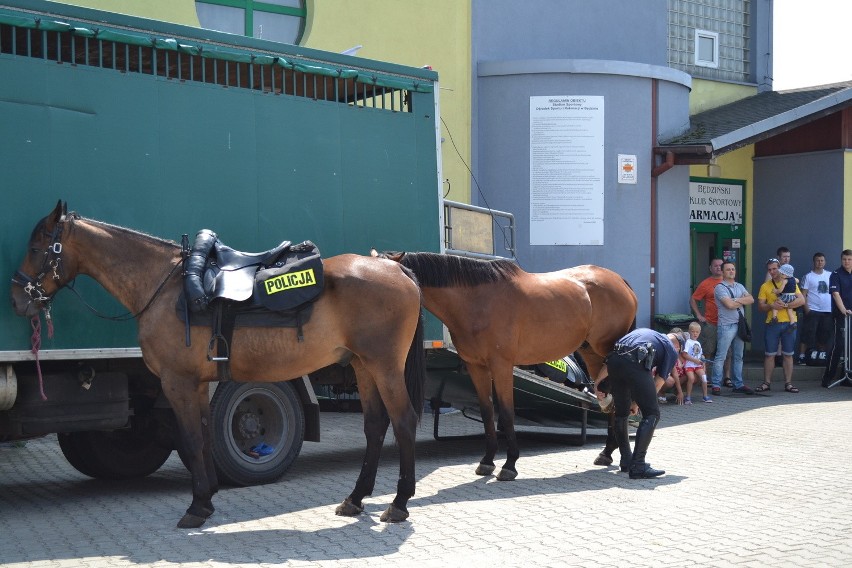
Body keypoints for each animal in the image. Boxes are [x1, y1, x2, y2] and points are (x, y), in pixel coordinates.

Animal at [10, 203, 426, 528]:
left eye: (36, 247)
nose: (17, 297)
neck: (165, 287)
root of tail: (395, 268)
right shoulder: (196, 383)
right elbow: (204, 436)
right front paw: (207, 498)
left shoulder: (177, 382)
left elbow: (192, 439)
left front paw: (196, 507)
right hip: (363, 367)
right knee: (375, 426)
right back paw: (356, 498)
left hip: (385, 366)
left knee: (403, 421)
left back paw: (399, 504)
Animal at [376, 252, 636, 480]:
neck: (476, 301)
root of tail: (621, 282)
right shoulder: (476, 366)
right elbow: (487, 411)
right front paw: (487, 461)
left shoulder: (501, 366)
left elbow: (507, 411)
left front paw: (509, 464)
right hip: (592, 354)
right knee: (607, 398)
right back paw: (607, 453)